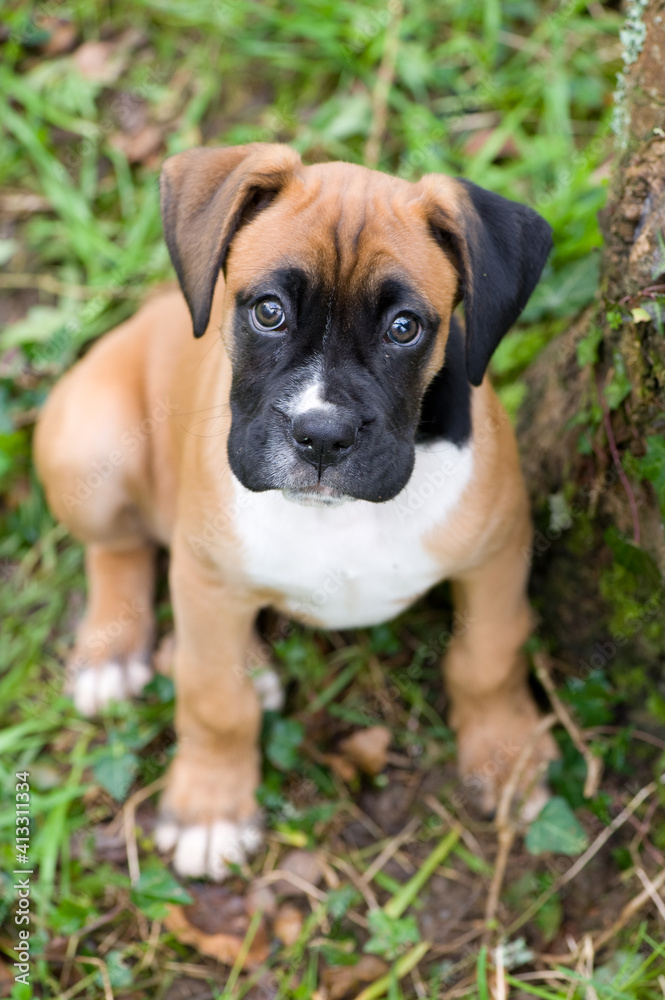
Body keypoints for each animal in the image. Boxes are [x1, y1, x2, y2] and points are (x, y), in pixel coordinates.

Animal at [35, 141, 556, 876]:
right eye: (269, 312)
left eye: (404, 329)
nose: (322, 435)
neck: (335, 515)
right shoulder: (205, 576)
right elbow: (213, 699)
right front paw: (211, 809)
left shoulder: (497, 556)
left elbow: (490, 657)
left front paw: (506, 755)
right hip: (94, 448)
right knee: (118, 551)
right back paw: (113, 651)